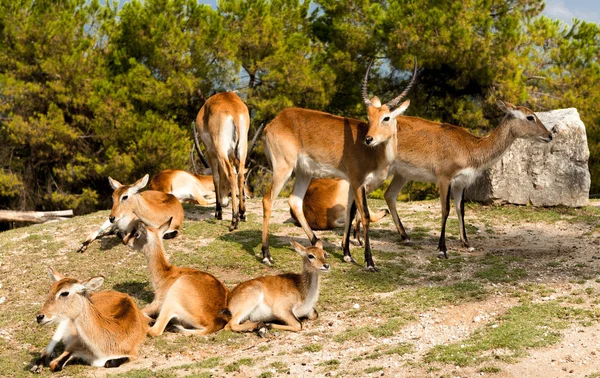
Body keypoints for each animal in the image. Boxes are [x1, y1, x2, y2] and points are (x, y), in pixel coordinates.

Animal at [196, 93, 250, 232]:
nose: (225, 202)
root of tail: (233, 111)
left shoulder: (211, 152)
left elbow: (216, 177)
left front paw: (218, 212)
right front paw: (242, 213)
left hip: (221, 151)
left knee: (230, 175)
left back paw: (233, 221)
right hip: (242, 149)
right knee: (240, 176)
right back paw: (242, 214)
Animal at [262, 60, 418, 270]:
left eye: (386, 117)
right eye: (369, 117)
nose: (369, 139)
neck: (374, 153)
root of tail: (275, 121)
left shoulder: (352, 183)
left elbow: (351, 213)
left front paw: (347, 254)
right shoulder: (359, 181)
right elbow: (364, 215)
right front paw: (369, 262)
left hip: (304, 172)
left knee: (295, 201)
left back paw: (318, 245)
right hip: (283, 168)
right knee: (267, 200)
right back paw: (266, 256)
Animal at [384, 100, 552, 258]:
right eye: (530, 117)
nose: (549, 135)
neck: (469, 148)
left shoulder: (461, 183)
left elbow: (461, 209)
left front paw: (466, 243)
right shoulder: (444, 178)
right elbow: (445, 209)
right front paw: (442, 249)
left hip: (401, 174)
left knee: (389, 195)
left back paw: (405, 237)